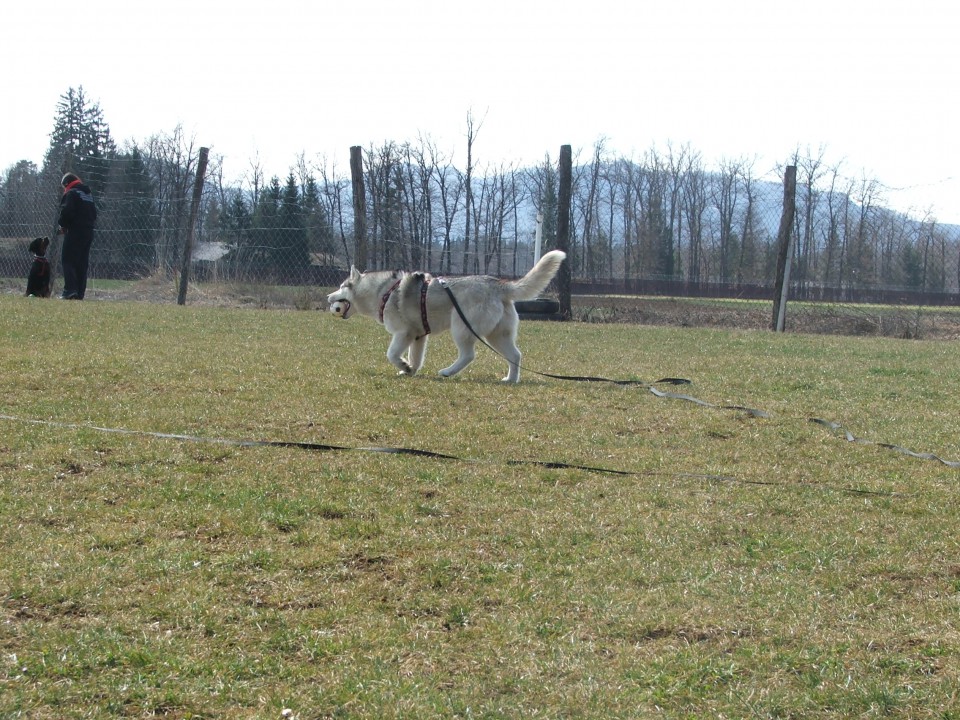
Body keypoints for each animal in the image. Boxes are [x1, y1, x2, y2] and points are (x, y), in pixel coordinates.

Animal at [326, 249, 568, 382]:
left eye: (341, 286)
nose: (328, 297)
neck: (382, 291)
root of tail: (498, 284)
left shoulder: (403, 333)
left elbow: (392, 354)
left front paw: (403, 366)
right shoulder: (418, 336)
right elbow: (416, 358)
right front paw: (410, 370)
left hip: (461, 328)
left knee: (469, 355)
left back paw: (448, 372)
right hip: (497, 335)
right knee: (515, 355)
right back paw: (511, 379)